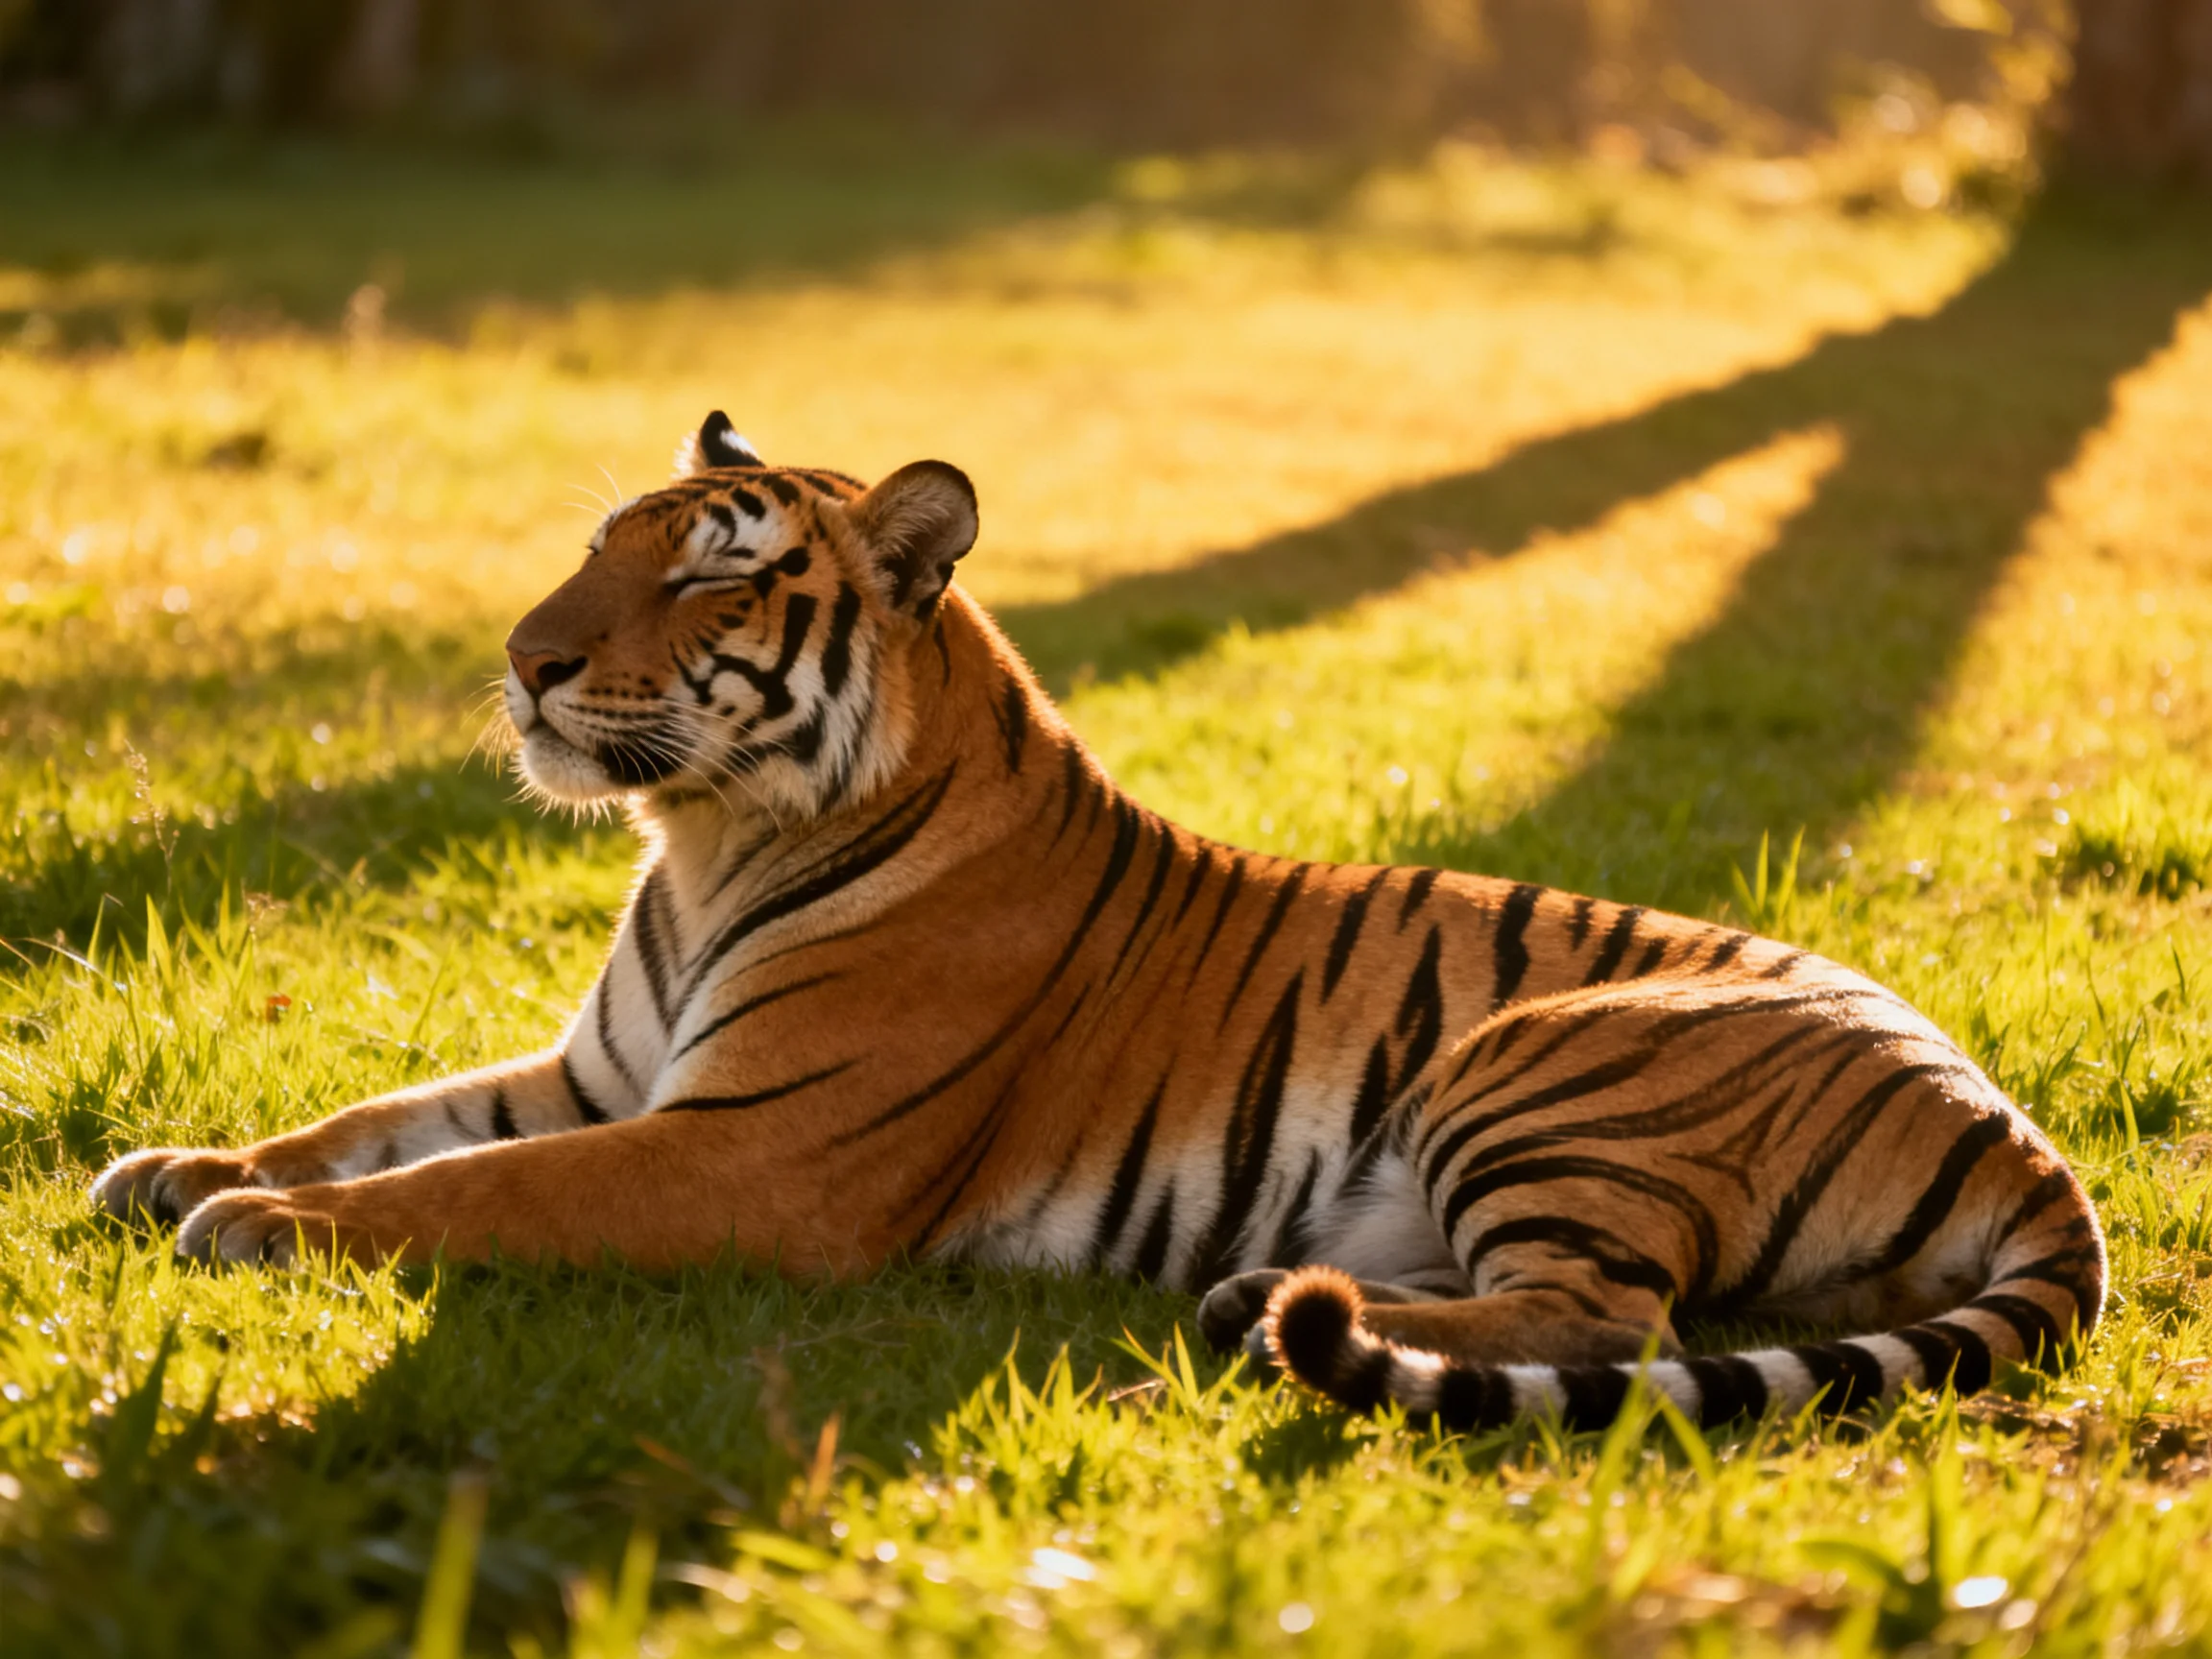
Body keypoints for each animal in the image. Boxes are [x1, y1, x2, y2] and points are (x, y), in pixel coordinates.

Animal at [92, 411, 2106, 1435]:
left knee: (1607, 1317)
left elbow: (464, 1187)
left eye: (711, 575)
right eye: (604, 542)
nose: (525, 662)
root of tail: (2009, 1124)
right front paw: (175, 1166)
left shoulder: (744, 1152)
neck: (701, 837)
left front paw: (255, 1227)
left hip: (1535, 1059)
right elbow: (379, 1116)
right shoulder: (603, 1075)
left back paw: (1262, 1309)